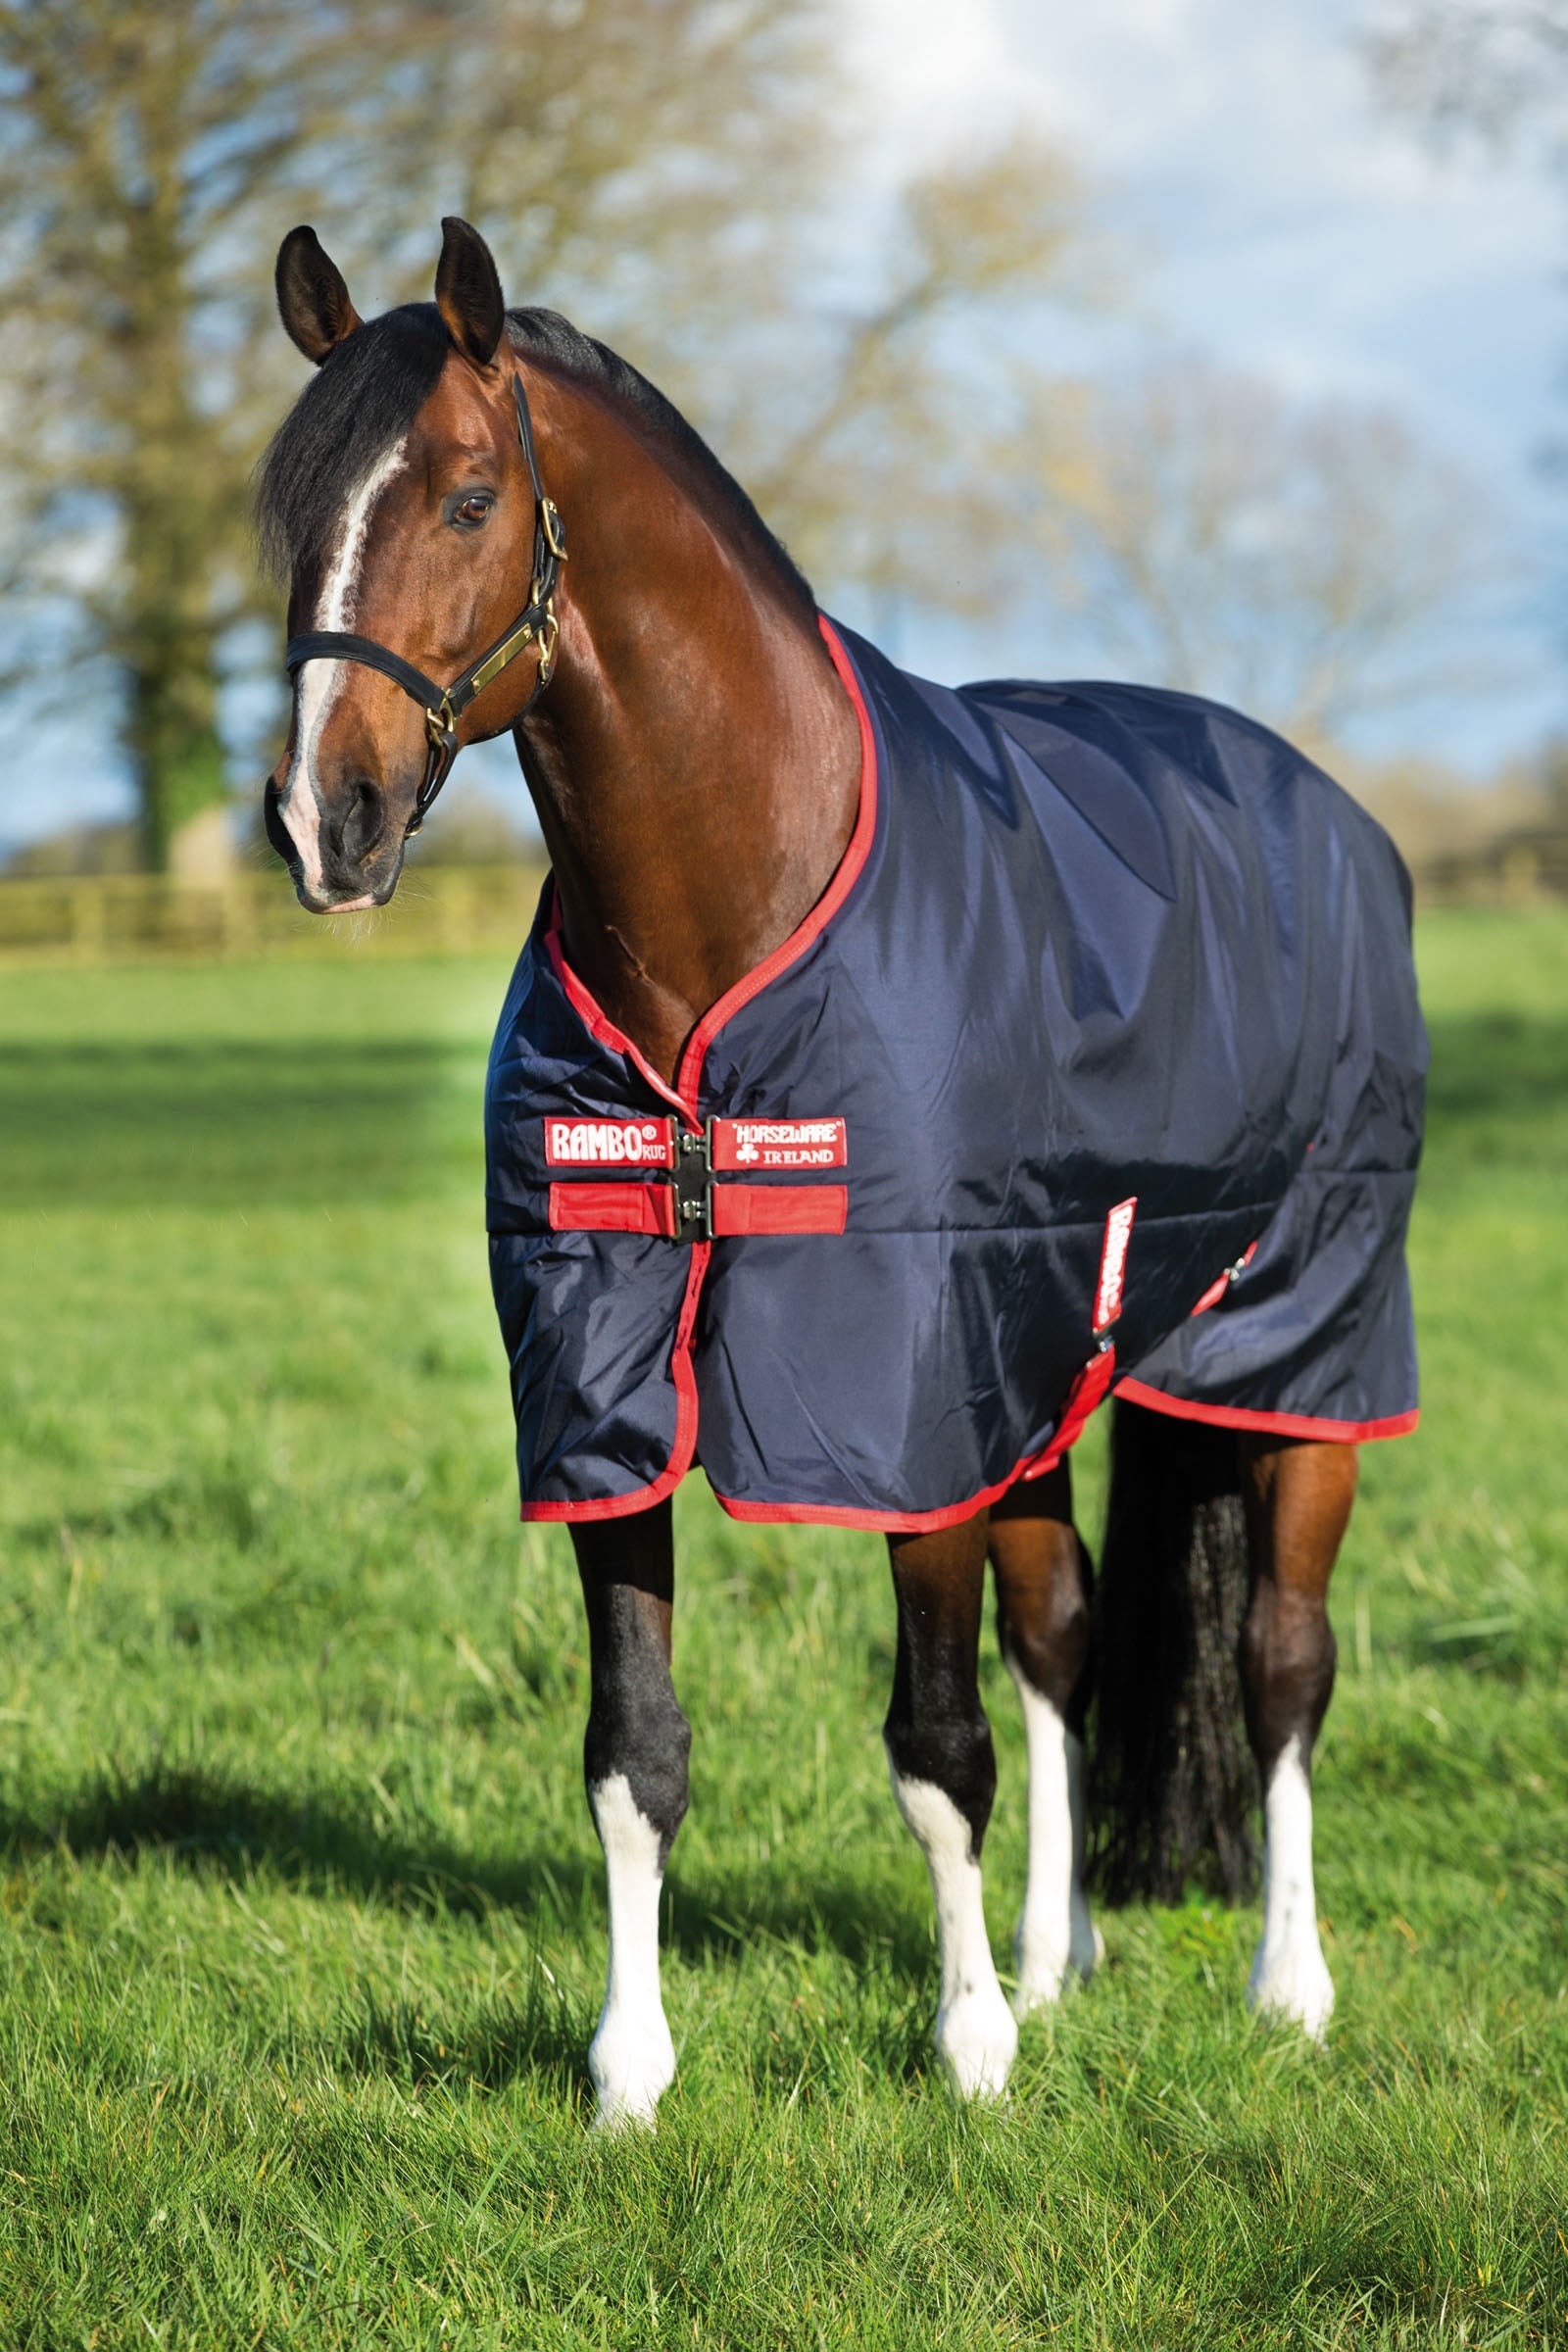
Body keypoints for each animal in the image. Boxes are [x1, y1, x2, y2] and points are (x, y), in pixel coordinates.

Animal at [257, 216, 1425, 2129]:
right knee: (1068, 1636)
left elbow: (935, 1747)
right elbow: (635, 1751)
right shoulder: (613, 1398)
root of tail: (1326, 805)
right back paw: (1063, 1957)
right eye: (286, 511)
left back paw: (1290, 1987)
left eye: (470, 497)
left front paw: (968, 2048)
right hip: (1041, 1366)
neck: (738, 907)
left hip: (1302, 1353)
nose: (318, 822)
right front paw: (632, 2071)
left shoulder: (896, 1403)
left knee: (1282, 1663)